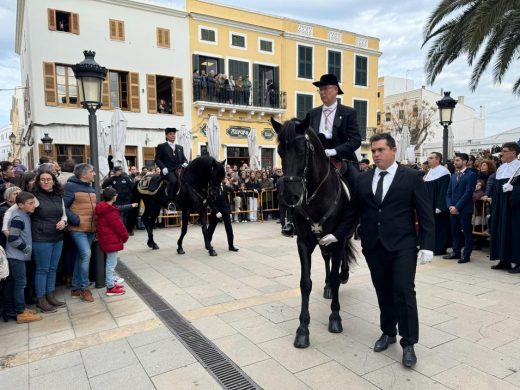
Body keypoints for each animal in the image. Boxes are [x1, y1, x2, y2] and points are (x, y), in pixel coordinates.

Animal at [270, 117, 356, 348]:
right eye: (280, 151)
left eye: (302, 150)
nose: (290, 196)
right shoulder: (304, 242)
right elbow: (305, 283)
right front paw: (302, 330)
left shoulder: (337, 240)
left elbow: (336, 275)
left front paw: (335, 319)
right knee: (326, 260)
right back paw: (327, 287)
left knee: (340, 261)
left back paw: (343, 276)